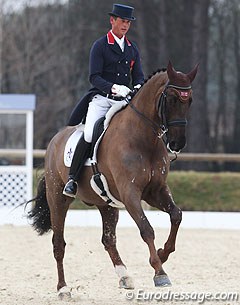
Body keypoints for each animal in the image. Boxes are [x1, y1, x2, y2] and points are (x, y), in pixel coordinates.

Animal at [27, 61, 198, 296]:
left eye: (189, 101)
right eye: (171, 99)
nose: (177, 143)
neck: (144, 139)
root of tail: (54, 141)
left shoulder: (156, 191)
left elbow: (177, 215)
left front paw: (163, 253)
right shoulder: (130, 193)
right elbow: (146, 229)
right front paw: (159, 272)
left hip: (106, 204)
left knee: (108, 239)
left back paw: (125, 276)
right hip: (58, 199)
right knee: (58, 243)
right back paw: (63, 288)